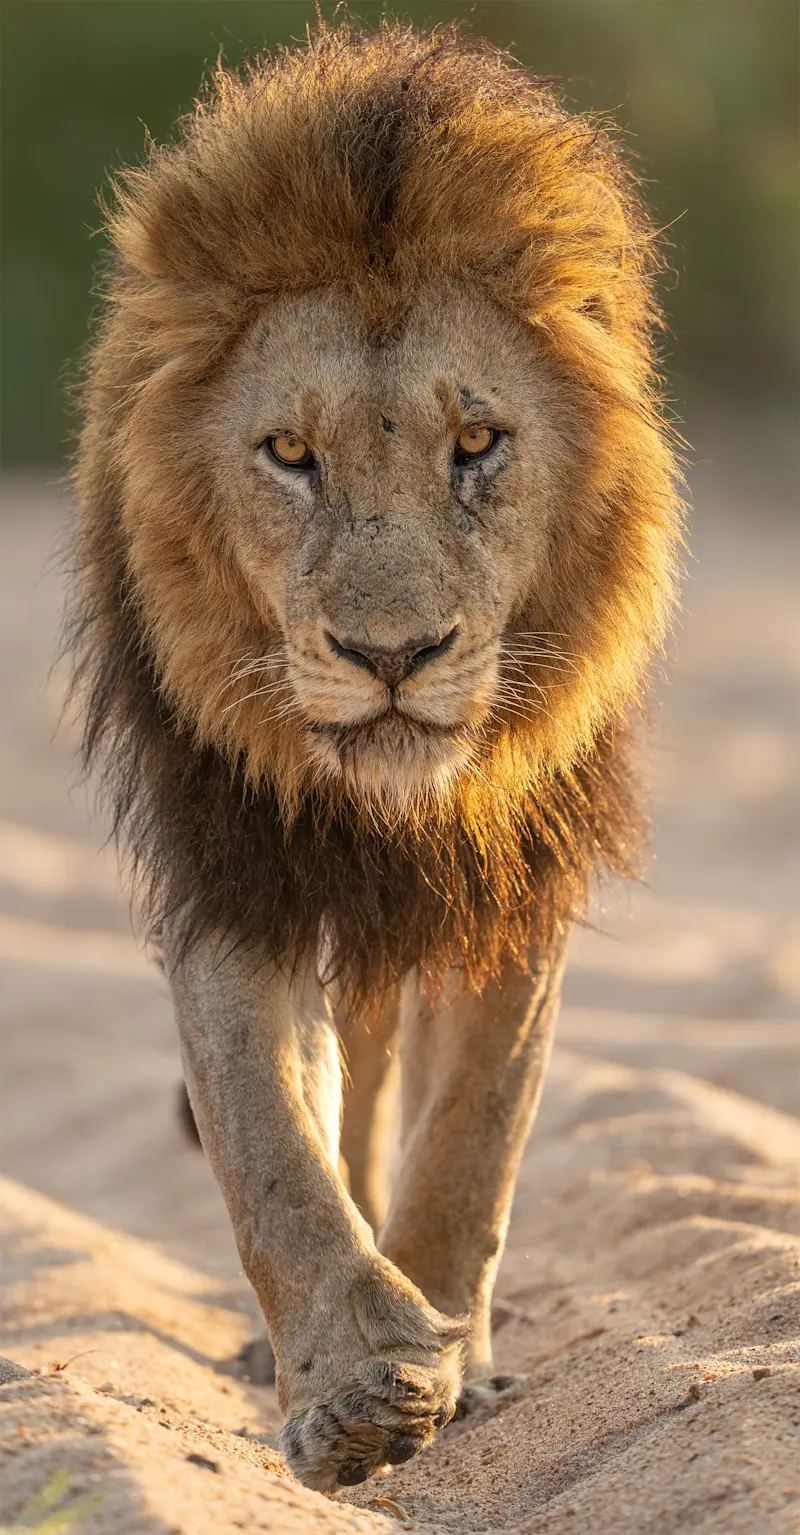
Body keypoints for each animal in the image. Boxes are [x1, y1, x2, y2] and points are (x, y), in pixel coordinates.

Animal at [66, 22, 682, 1493]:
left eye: (479, 443)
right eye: (290, 452)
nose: (390, 653)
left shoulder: (518, 866)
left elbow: (473, 1133)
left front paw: (457, 1357)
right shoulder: (233, 857)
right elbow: (271, 1141)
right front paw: (352, 1387)